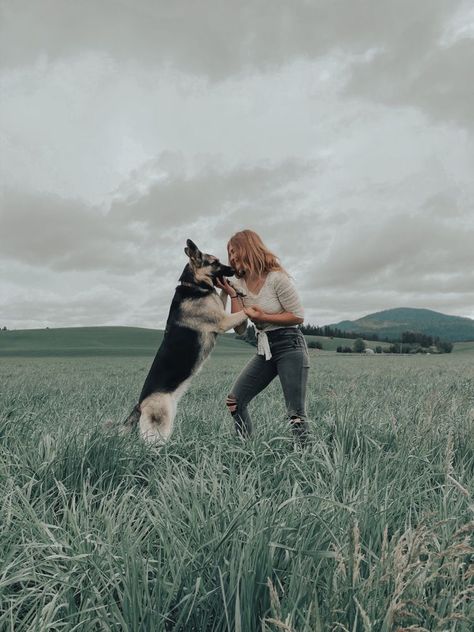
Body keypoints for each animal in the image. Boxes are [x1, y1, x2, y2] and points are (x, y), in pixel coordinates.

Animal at [119, 239, 248, 442]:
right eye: (215, 262)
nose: (236, 270)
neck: (194, 284)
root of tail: (140, 404)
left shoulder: (221, 309)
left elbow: (225, 292)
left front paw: (239, 288)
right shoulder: (223, 321)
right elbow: (246, 311)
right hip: (160, 425)